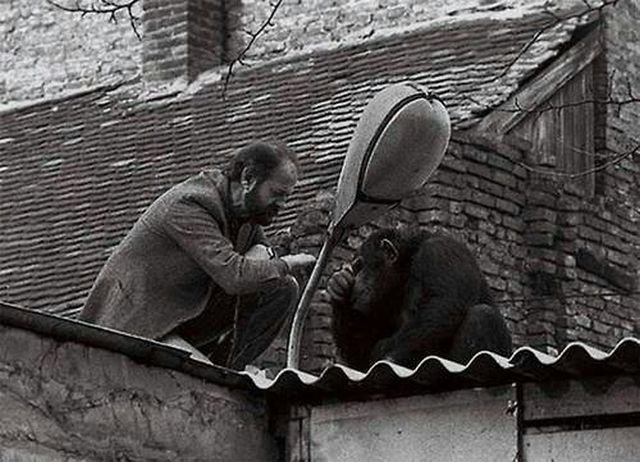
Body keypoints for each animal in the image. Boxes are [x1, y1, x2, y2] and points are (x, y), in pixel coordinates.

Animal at [328, 228, 512, 372]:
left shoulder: (440, 252)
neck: (405, 270)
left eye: (360, 266)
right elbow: (361, 351)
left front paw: (385, 356)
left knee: (482, 315)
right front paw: (339, 285)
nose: (355, 278)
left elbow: (445, 303)